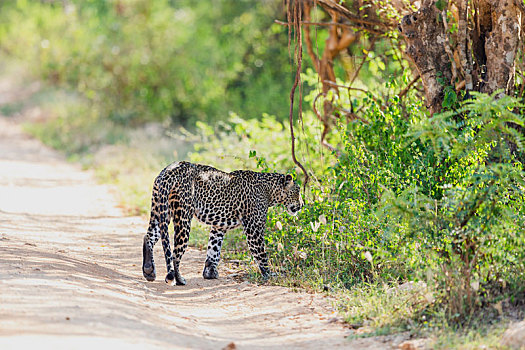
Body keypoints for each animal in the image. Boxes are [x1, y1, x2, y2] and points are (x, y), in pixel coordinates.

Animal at [141, 161, 302, 284]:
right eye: (298, 191)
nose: (302, 204)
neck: (270, 191)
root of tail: (169, 170)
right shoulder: (253, 228)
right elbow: (261, 254)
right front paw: (270, 274)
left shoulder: (219, 226)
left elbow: (214, 248)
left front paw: (209, 272)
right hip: (183, 216)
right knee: (175, 252)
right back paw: (179, 279)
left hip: (160, 209)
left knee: (148, 237)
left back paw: (149, 270)